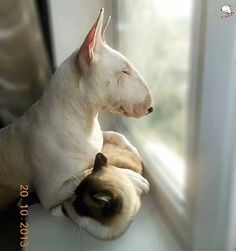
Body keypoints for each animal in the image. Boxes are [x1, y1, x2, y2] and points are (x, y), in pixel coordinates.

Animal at [0, 9, 152, 214]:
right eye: (125, 71)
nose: (151, 108)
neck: (84, 119)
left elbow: (114, 134)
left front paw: (132, 148)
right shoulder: (51, 192)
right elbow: (83, 175)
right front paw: (132, 177)